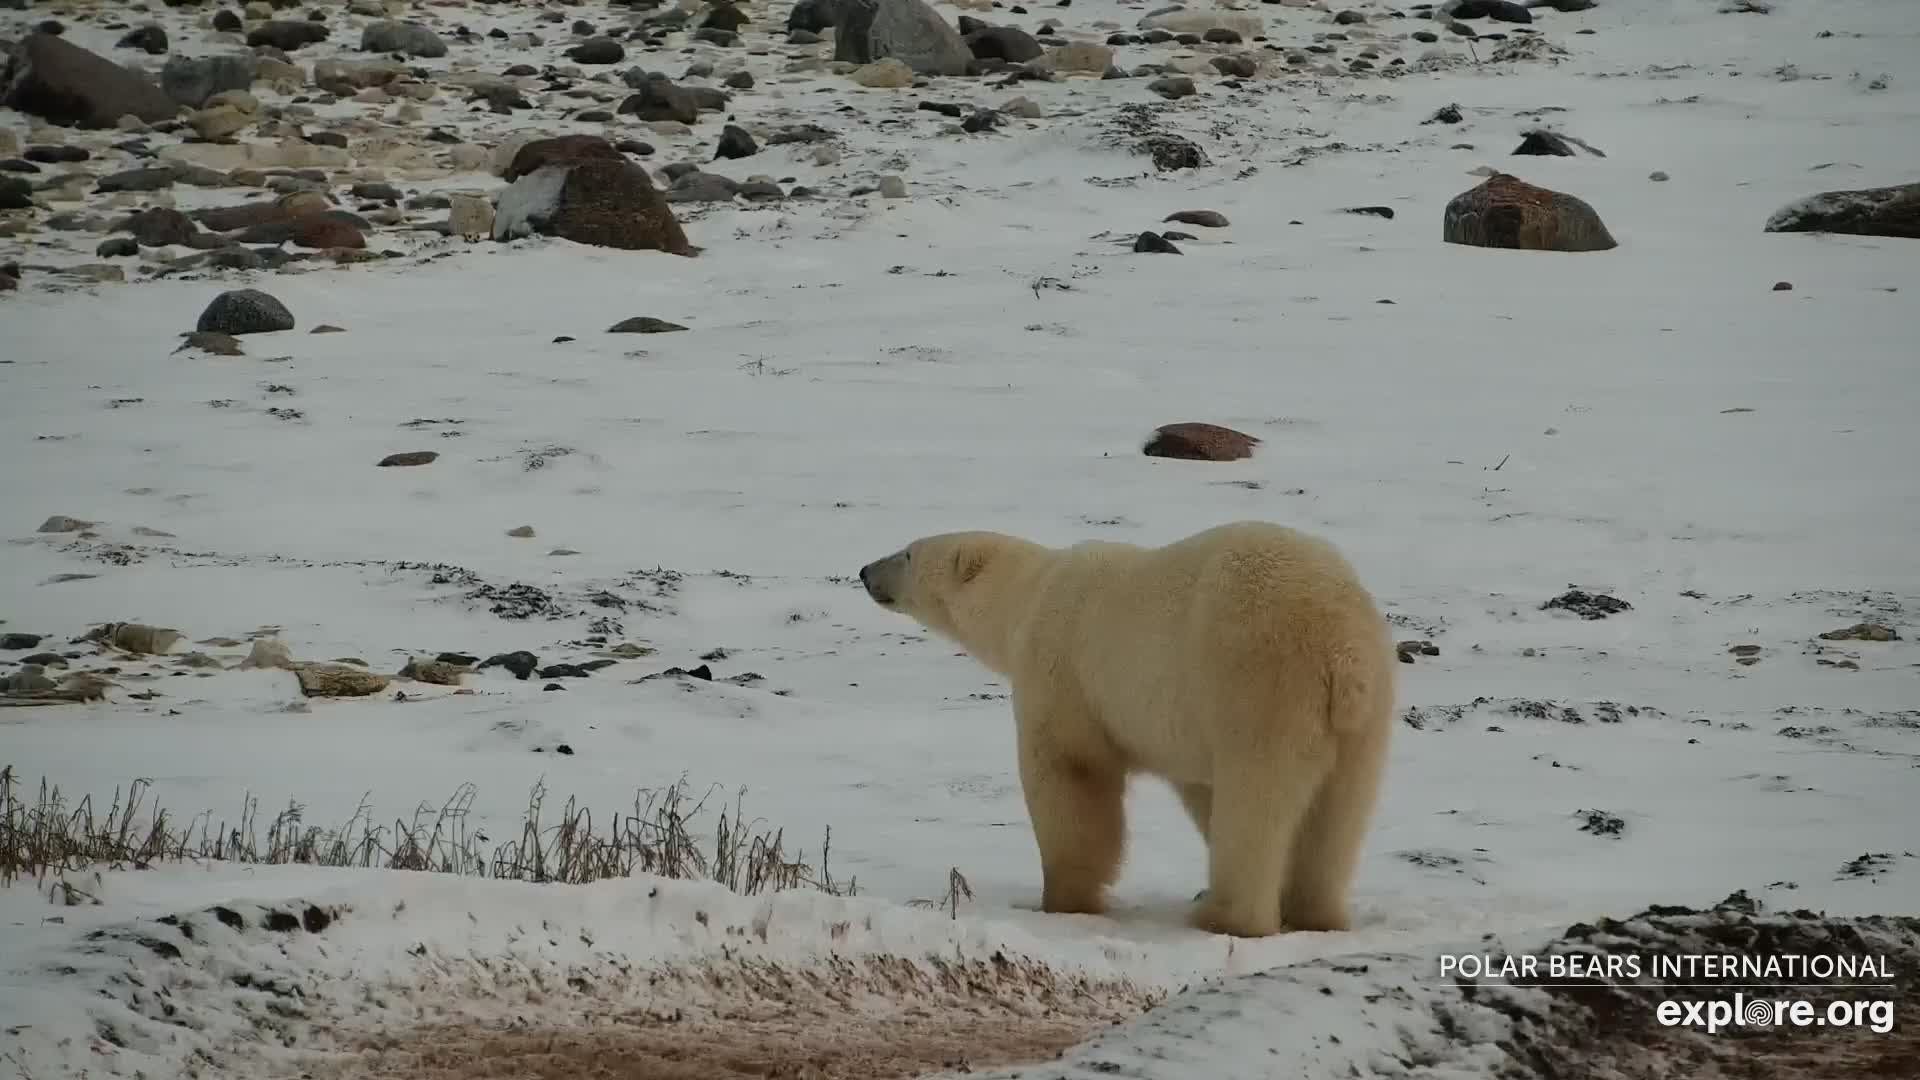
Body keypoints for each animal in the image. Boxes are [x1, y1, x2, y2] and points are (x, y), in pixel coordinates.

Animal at [860, 522, 1397, 933]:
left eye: (907, 553)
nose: (865, 571)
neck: (1028, 594)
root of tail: (1342, 646)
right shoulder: (1183, 727)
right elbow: (1200, 789)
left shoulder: (1062, 670)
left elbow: (1072, 777)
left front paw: (1062, 899)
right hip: (1365, 715)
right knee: (1339, 812)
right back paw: (1316, 913)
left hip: (1256, 682)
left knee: (1256, 798)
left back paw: (1223, 915)